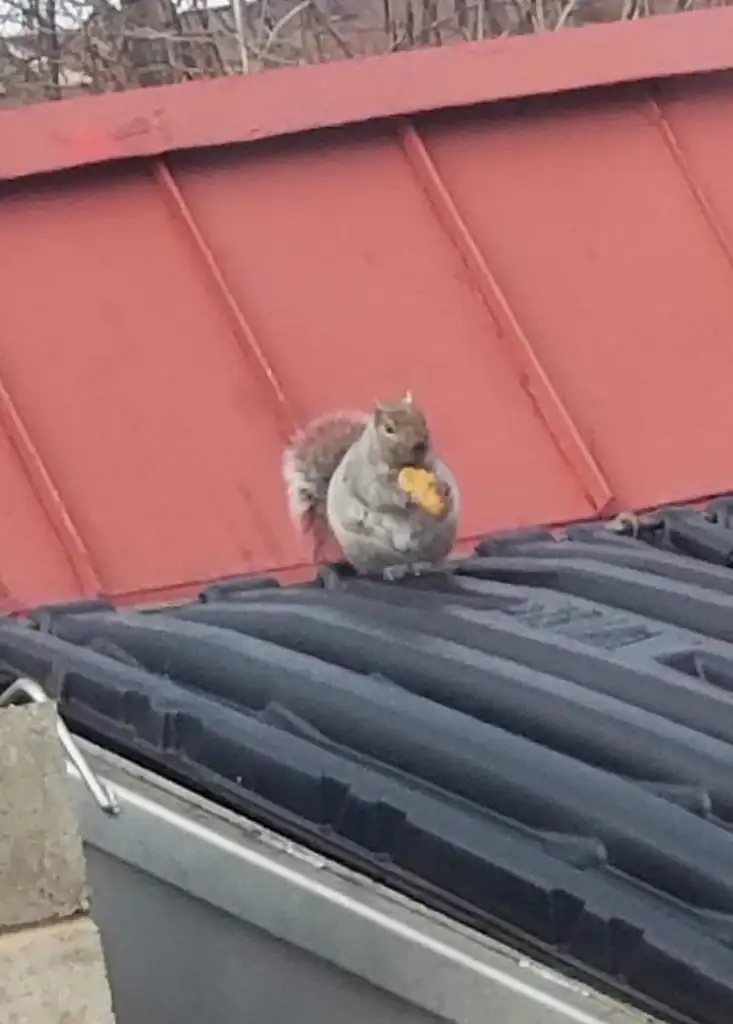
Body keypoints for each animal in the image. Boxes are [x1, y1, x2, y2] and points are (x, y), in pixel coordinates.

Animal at [280, 391, 458, 581]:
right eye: (389, 429)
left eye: (423, 420)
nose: (421, 444)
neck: (401, 468)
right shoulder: (364, 478)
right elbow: (380, 495)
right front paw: (404, 496)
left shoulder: (433, 466)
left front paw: (443, 489)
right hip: (369, 552)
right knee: (381, 567)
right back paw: (393, 569)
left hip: (437, 542)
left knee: (426, 560)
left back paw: (422, 565)